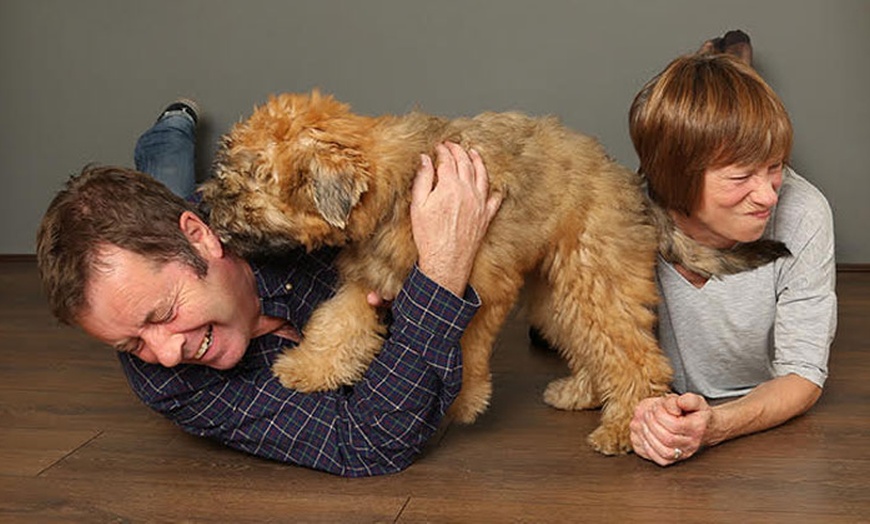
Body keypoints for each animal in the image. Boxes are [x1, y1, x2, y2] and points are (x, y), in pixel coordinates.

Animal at [203, 91, 792, 454]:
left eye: (245, 182)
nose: (207, 207)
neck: (393, 185)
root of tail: (631, 183)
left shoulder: (483, 284)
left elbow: (465, 343)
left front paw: (461, 402)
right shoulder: (369, 282)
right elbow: (337, 325)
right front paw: (306, 368)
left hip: (593, 278)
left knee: (636, 356)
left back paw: (624, 426)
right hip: (559, 294)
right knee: (591, 342)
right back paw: (583, 392)